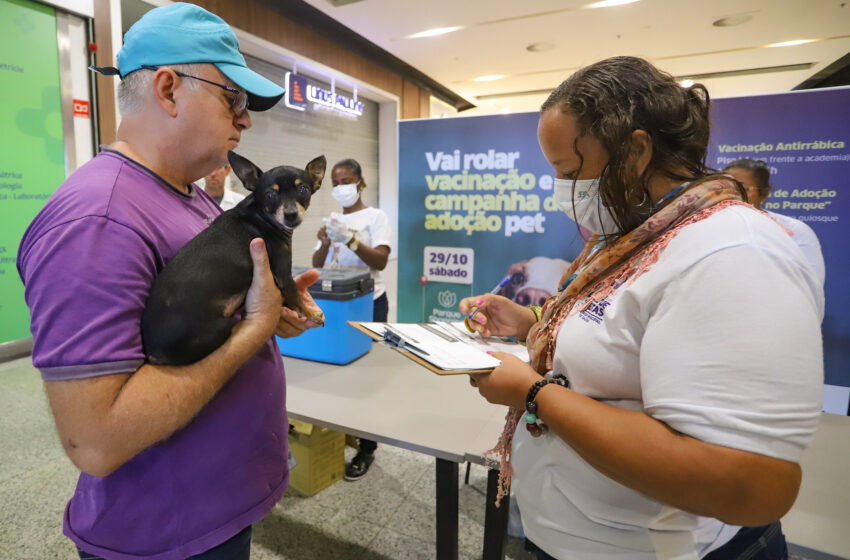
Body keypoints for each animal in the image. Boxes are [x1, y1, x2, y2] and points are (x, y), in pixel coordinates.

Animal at [139, 151, 324, 366]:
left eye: (303, 190)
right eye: (270, 195)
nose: (291, 214)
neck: (262, 216)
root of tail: (153, 353)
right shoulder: (284, 275)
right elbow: (295, 297)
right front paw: (311, 314)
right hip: (220, 329)